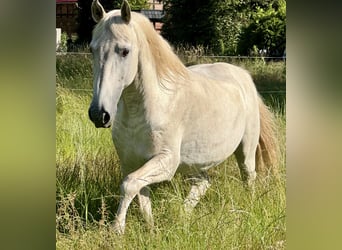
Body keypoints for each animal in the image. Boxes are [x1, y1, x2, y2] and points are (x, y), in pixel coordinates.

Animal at [87, 0, 278, 234]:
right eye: (92, 49)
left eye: (124, 51)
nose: (99, 114)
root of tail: (243, 76)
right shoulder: (132, 161)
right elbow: (140, 192)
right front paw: (152, 230)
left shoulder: (166, 161)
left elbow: (129, 185)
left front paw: (117, 230)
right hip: (195, 162)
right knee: (203, 182)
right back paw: (183, 216)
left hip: (246, 150)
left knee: (248, 176)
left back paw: (246, 209)